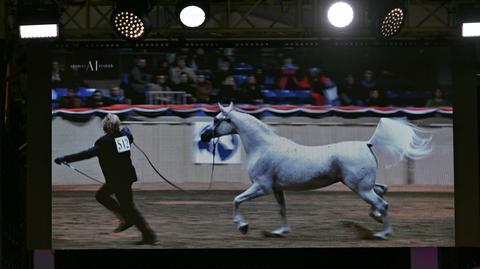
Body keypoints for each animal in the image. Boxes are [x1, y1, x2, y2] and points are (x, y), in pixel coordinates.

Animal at [201, 102, 434, 239]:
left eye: (216, 119)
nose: (203, 136)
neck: (263, 147)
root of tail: (367, 143)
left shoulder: (261, 187)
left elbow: (236, 200)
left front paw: (243, 226)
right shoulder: (276, 189)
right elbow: (282, 209)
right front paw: (281, 231)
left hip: (359, 188)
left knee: (383, 203)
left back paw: (383, 233)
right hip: (362, 185)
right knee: (382, 191)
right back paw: (375, 218)